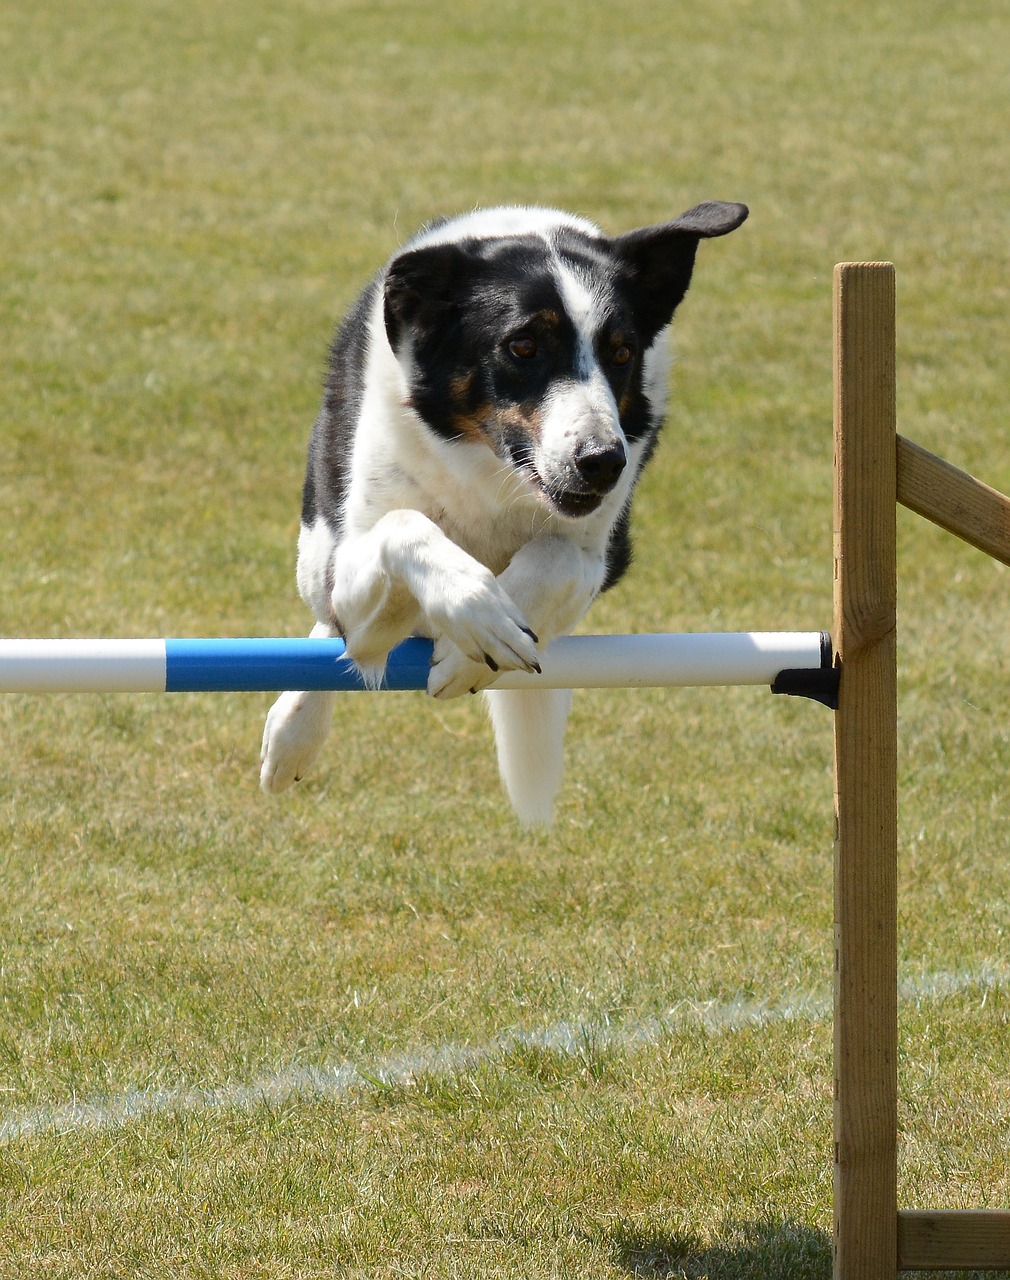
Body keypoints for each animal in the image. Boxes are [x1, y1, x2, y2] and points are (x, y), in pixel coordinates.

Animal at [259, 198, 747, 819]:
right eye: (522, 347)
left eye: (622, 353)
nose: (602, 462)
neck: (494, 472)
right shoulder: (352, 570)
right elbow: (404, 531)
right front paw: (476, 609)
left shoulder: (603, 554)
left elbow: (555, 557)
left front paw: (471, 650)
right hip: (317, 551)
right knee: (328, 625)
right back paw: (293, 735)